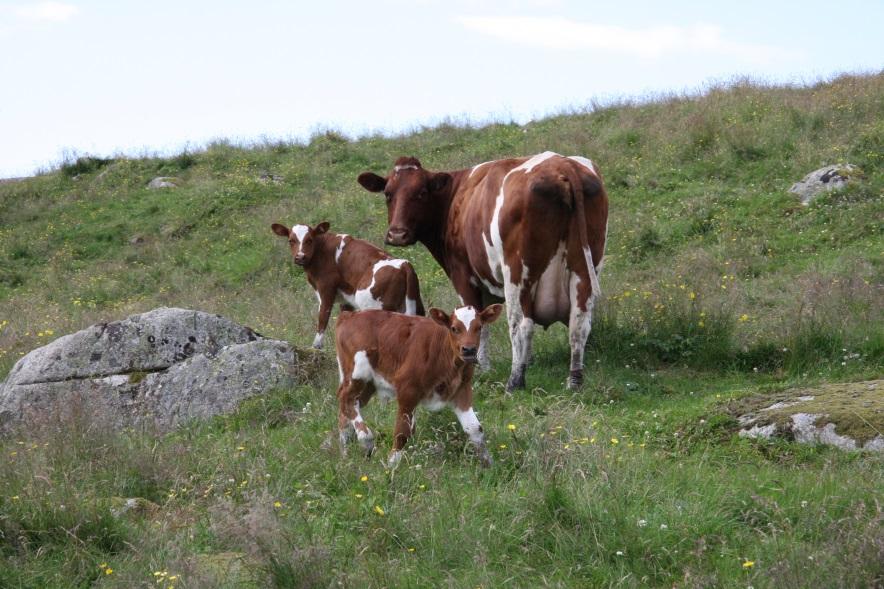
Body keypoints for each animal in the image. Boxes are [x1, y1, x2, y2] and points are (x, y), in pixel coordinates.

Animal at [272, 220, 426, 350]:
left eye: (309, 239)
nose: (300, 257)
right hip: (415, 306)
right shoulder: (346, 299)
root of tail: (404, 264)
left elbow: (323, 317)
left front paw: (316, 346)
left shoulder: (326, 288)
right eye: (291, 241)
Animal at [334, 304, 504, 468]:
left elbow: (475, 429)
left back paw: (345, 451)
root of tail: (350, 315)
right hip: (357, 374)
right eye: (454, 328)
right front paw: (391, 466)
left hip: (369, 383)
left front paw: (488, 465)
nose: (469, 350)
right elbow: (402, 432)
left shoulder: (462, 390)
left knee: (349, 406)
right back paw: (365, 440)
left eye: (479, 327)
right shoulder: (407, 390)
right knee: (345, 398)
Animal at [360, 150, 608, 390]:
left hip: (517, 273)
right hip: (584, 270)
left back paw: (515, 381)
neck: (456, 199)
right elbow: (484, 322)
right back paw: (574, 380)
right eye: (388, 194)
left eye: (421, 193)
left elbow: (475, 320)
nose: (397, 234)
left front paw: (477, 369)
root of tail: (561, 164)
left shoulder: (463, 275)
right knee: (579, 323)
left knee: (521, 326)